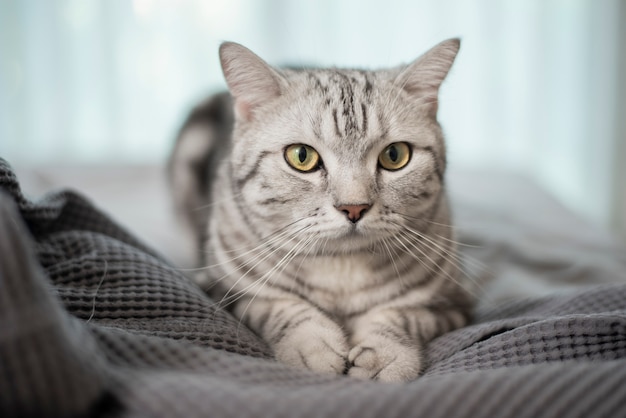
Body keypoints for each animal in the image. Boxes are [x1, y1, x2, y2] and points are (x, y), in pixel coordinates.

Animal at [168, 38, 470, 382]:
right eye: (302, 156)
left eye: (395, 155)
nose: (354, 207)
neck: (341, 272)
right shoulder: (220, 290)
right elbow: (278, 306)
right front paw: (312, 347)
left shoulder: (453, 305)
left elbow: (401, 315)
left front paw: (385, 356)